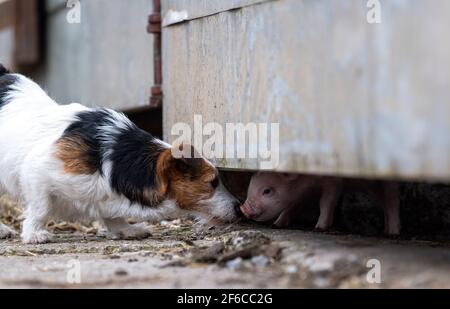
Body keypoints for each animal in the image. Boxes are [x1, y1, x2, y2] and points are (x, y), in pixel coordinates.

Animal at [0, 65, 241, 243]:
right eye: (212, 182)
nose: (239, 208)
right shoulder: (37, 171)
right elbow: (41, 208)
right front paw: (34, 234)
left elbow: (111, 214)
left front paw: (127, 230)